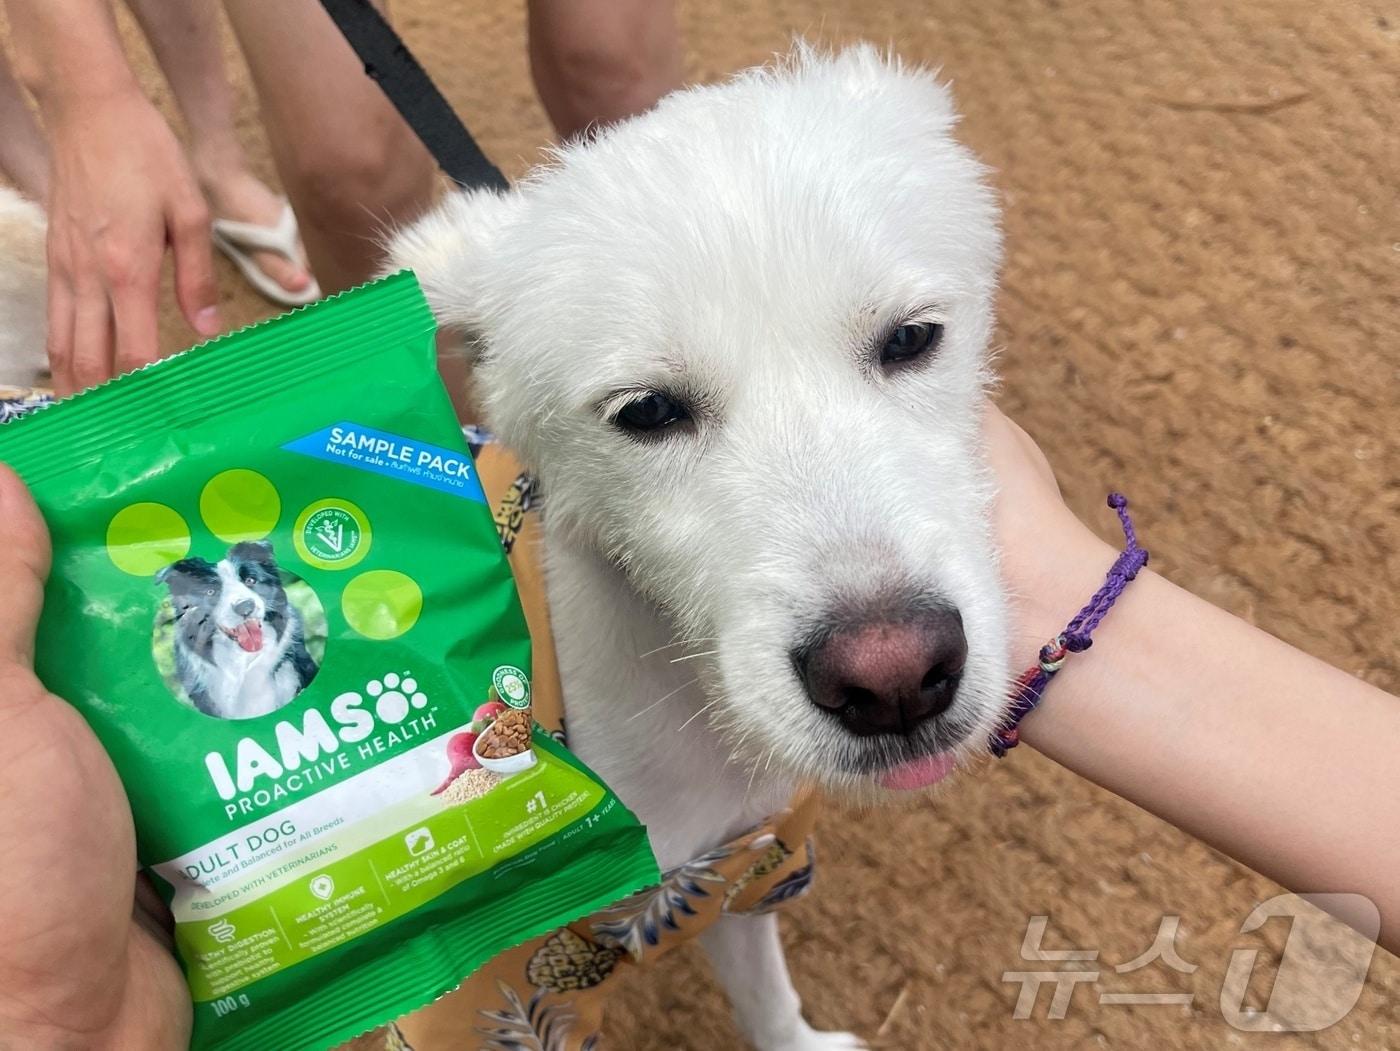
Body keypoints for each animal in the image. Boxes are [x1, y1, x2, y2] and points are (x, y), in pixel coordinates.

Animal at [389, 45, 1013, 1046]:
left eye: (913, 337)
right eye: (646, 411)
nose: (894, 677)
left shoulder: (735, 876)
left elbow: (767, 998)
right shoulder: (497, 1001)